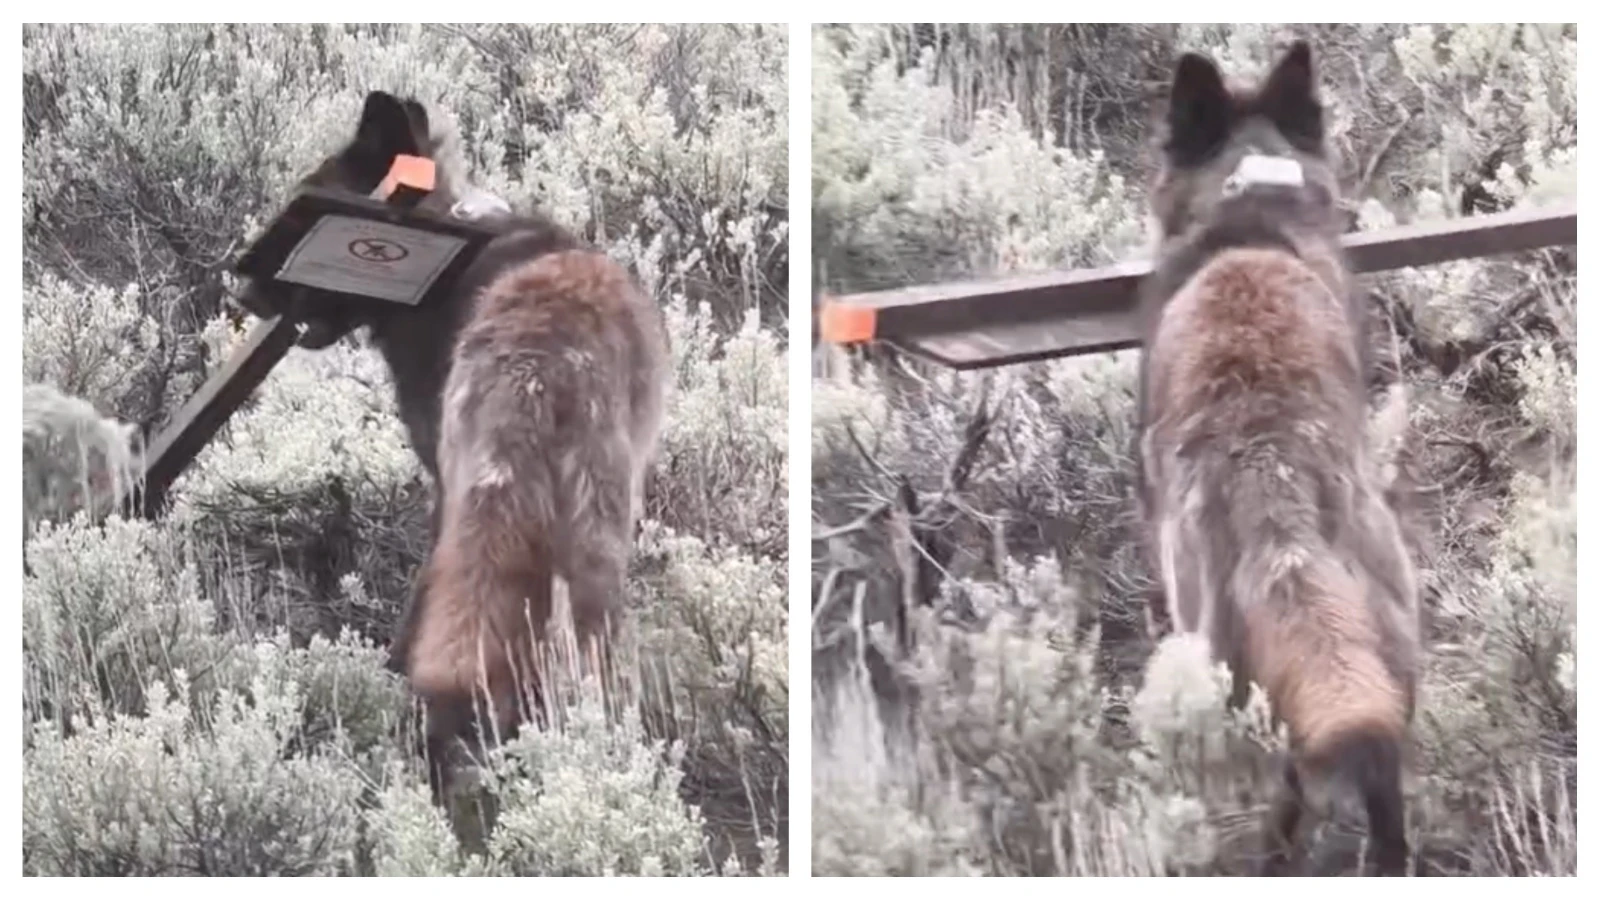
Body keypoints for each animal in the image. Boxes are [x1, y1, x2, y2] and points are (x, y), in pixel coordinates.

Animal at [1135, 42, 1421, 876]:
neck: (1251, 203)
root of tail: (1271, 469)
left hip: (1216, 653)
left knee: (1286, 785)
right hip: (1388, 645)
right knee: (1382, 779)